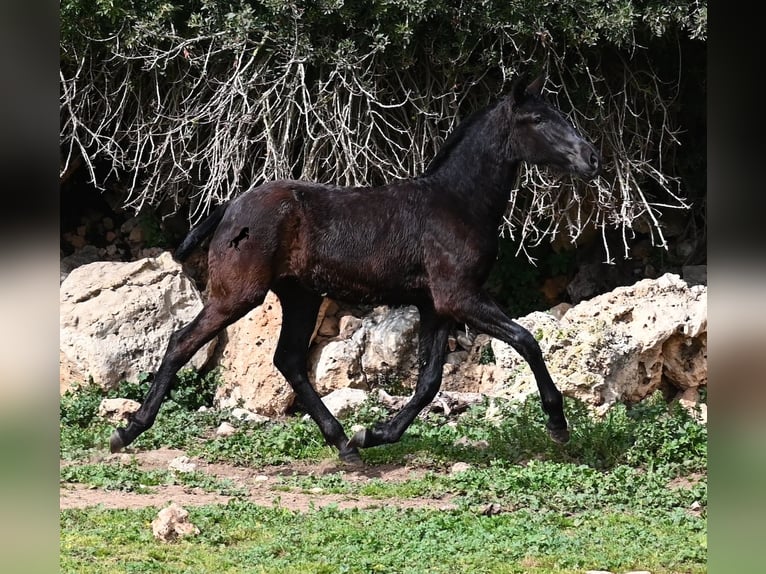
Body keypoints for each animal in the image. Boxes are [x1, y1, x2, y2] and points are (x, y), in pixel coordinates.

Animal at [109, 76, 600, 464]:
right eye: (537, 119)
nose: (592, 159)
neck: (456, 203)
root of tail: (231, 207)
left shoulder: (437, 304)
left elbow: (429, 381)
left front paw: (375, 434)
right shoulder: (459, 296)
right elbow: (526, 340)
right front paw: (558, 423)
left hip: (301, 296)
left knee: (288, 359)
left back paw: (344, 443)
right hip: (238, 294)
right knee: (181, 342)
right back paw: (128, 431)